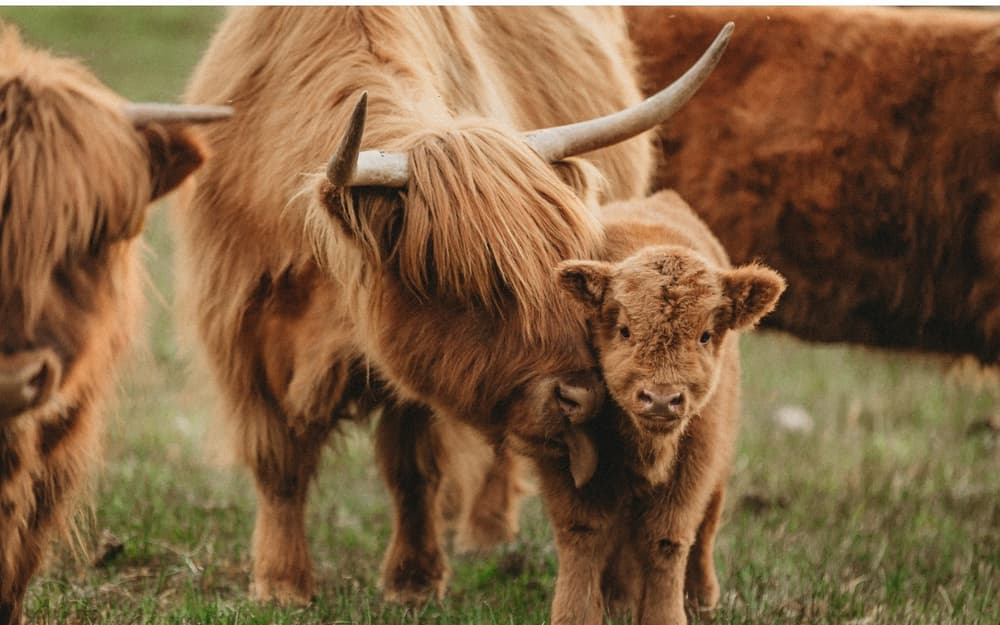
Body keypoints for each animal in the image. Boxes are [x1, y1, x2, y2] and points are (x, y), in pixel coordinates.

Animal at [175, 6, 731, 610]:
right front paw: (281, 581)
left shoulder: (418, 371)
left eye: (561, 266)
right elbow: (279, 465)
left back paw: (486, 531)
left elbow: (412, 466)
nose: (583, 398)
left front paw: (413, 578)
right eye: (468, 284)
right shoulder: (241, 335)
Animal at [551, 190, 786, 625]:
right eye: (624, 330)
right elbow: (583, 534)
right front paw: (576, 615)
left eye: (705, 335)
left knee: (705, 527)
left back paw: (700, 597)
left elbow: (666, 540)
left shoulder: (697, 461)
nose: (661, 398)